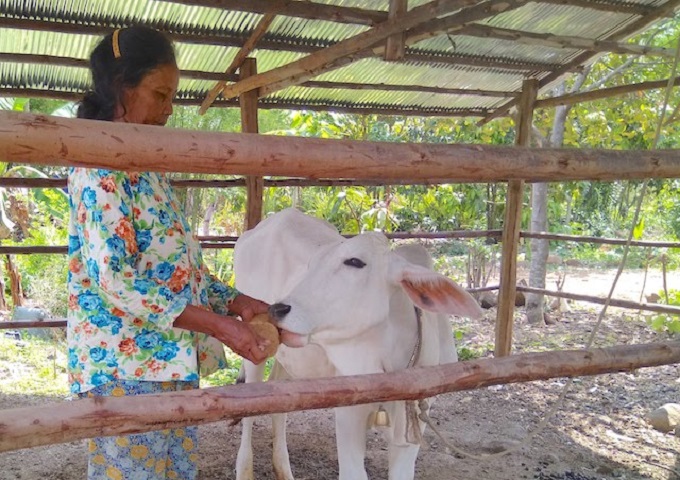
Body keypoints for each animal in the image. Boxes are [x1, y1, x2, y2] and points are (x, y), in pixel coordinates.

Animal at [233, 208, 482, 480]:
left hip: (293, 361)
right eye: (311, 265)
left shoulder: (413, 424)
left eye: (354, 262)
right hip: (255, 357)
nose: (277, 309)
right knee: (250, 408)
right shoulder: (348, 414)